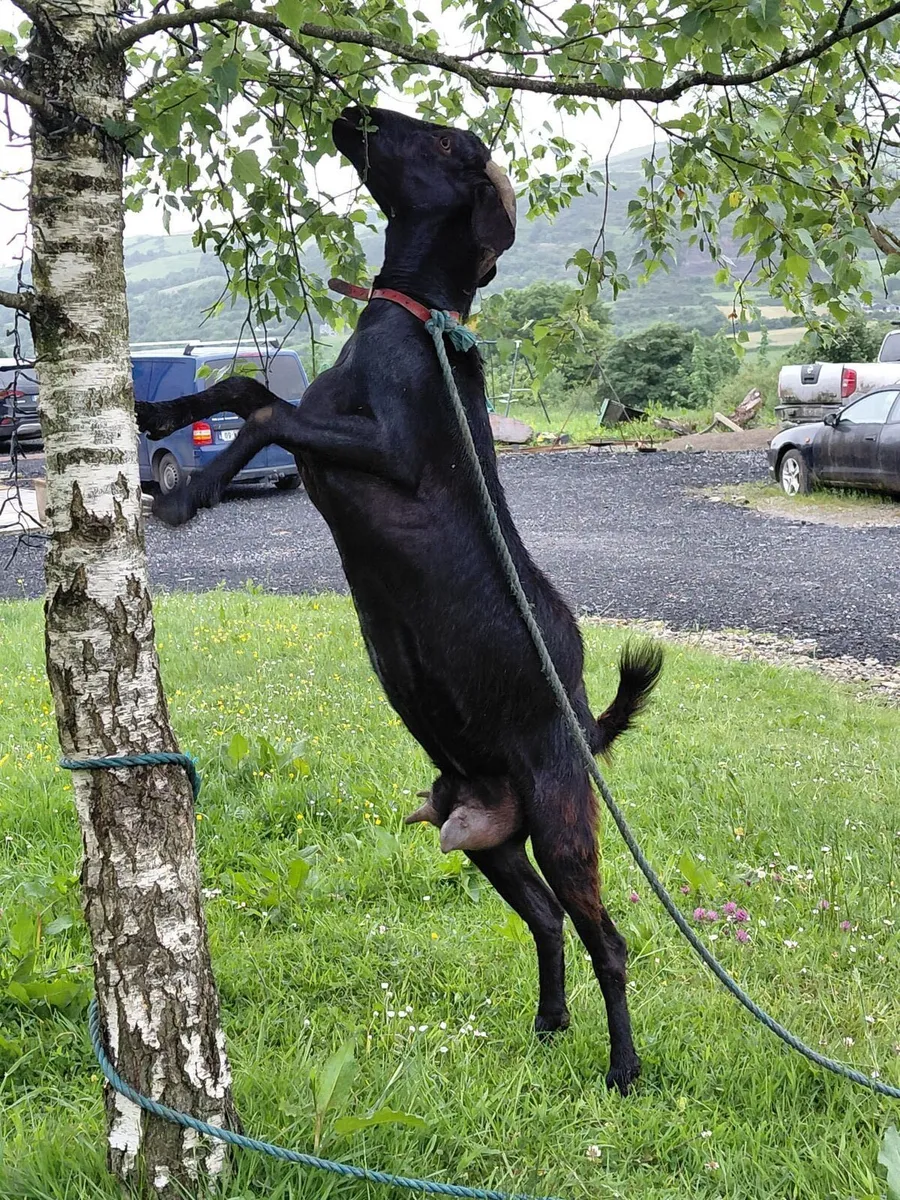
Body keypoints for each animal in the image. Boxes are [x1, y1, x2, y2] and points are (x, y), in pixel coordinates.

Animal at [136, 106, 662, 1093]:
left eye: (451, 144)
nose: (357, 113)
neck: (417, 326)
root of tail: (582, 722)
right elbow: (245, 390)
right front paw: (161, 416)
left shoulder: (387, 457)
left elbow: (266, 416)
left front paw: (190, 494)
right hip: (491, 838)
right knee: (545, 919)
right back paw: (549, 1021)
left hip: (564, 825)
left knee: (606, 939)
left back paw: (622, 1066)